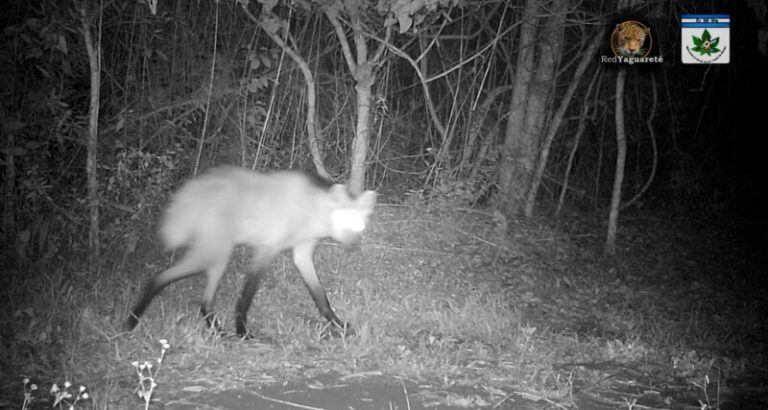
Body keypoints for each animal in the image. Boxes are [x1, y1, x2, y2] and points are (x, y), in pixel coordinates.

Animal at [124, 165, 376, 338]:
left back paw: (218, 332)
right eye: (345, 221)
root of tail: (189, 192)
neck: (312, 211)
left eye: (359, 226)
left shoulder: (302, 253)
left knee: (204, 302)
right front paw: (243, 332)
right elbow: (246, 296)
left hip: (218, 256)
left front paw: (339, 325)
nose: (353, 244)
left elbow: (320, 297)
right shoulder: (267, 249)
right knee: (160, 277)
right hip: (214, 252)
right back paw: (131, 321)